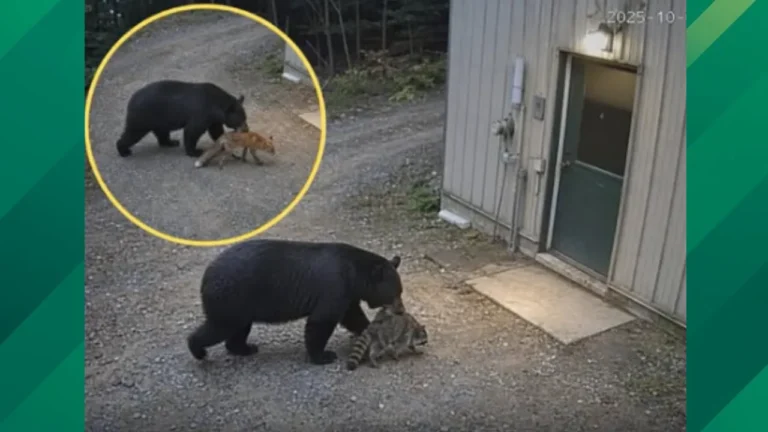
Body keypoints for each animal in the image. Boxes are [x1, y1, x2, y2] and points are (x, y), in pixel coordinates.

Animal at [115, 80, 249, 158]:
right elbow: (192, 130)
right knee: (133, 133)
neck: (216, 103)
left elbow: (216, 131)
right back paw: (123, 150)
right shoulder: (202, 112)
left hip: (159, 118)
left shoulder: (213, 118)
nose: (246, 129)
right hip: (143, 116)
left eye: (245, 118)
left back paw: (171, 142)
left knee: (162, 132)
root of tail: (131, 101)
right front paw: (195, 152)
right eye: (241, 119)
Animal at [186, 239, 404, 366]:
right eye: (395, 294)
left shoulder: (347, 294)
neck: (354, 273)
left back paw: (245, 348)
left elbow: (352, 315)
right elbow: (321, 321)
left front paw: (368, 330)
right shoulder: (334, 287)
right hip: (232, 296)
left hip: (241, 303)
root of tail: (206, 276)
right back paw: (198, 351)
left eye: (400, 291)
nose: (401, 310)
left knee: (239, 328)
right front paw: (323, 356)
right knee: (220, 327)